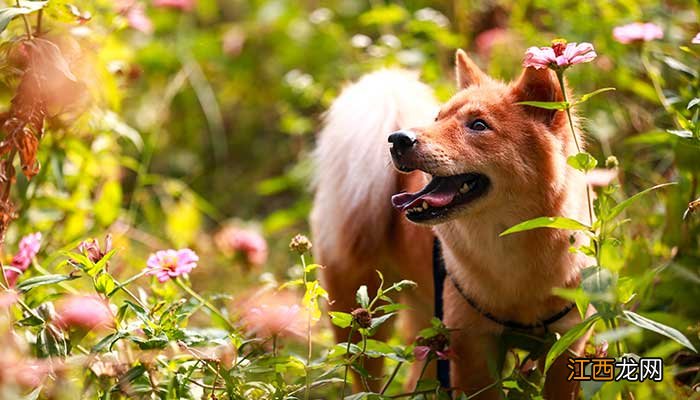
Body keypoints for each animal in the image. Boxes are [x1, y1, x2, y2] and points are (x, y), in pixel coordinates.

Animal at [312, 50, 592, 400]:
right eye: (438, 118)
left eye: (479, 125)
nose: (398, 139)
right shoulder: (472, 348)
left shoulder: (566, 344)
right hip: (361, 321)